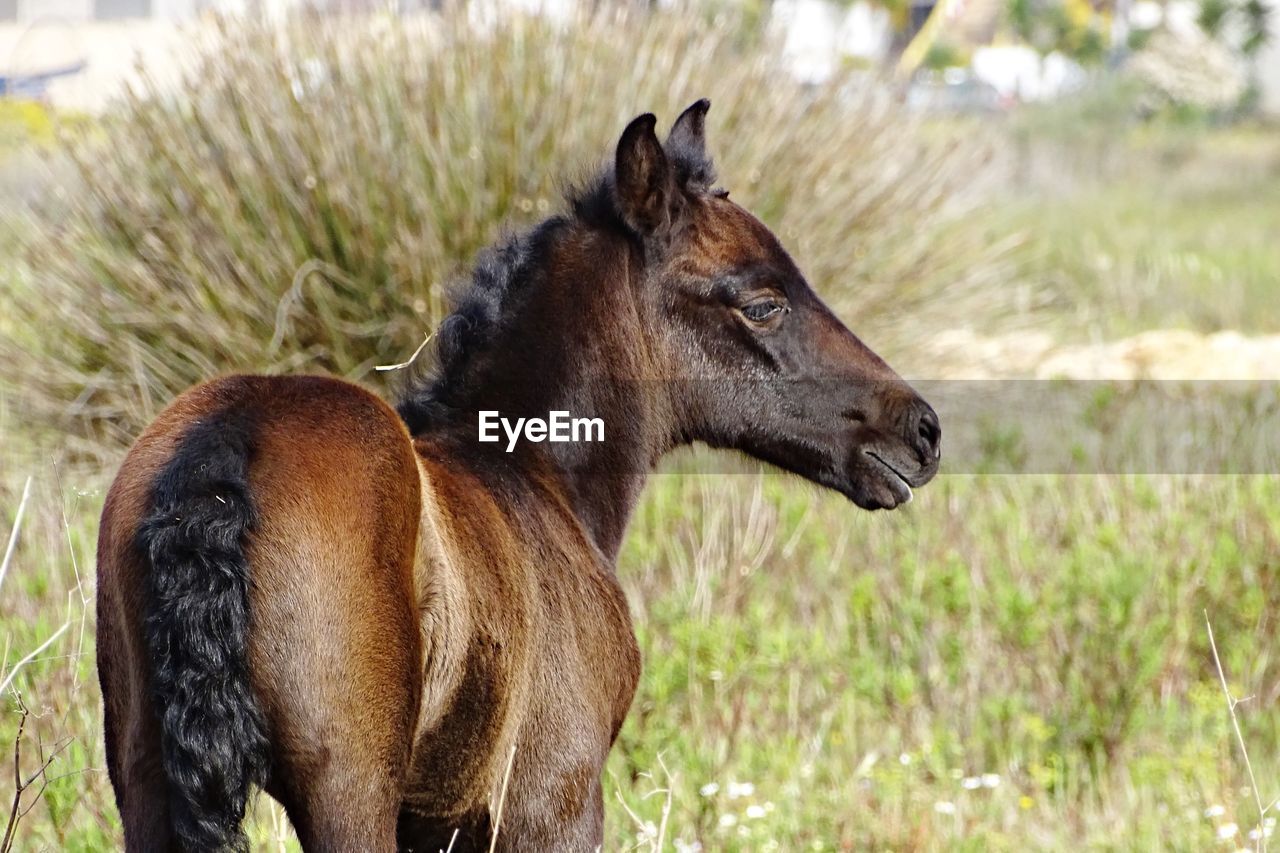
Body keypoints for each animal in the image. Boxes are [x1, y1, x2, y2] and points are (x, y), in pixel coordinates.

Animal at [97, 97, 942, 845]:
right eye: (762, 301)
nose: (921, 429)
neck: (532, 473)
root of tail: (225, 445)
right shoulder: (553, 799)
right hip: (347, 790)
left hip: (145, 779)